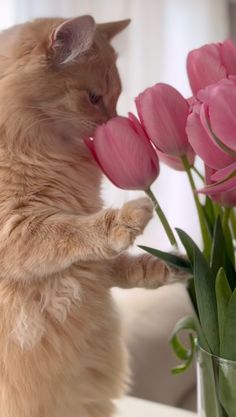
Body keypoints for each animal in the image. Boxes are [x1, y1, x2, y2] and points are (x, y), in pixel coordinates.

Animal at [0, 14, 181, 414]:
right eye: (94, 97)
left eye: (114, 98)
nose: (112, 123)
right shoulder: (16, 229)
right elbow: (72, 230)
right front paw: (130, 216)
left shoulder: (92, 266)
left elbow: (118, 264)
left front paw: (170, 266)